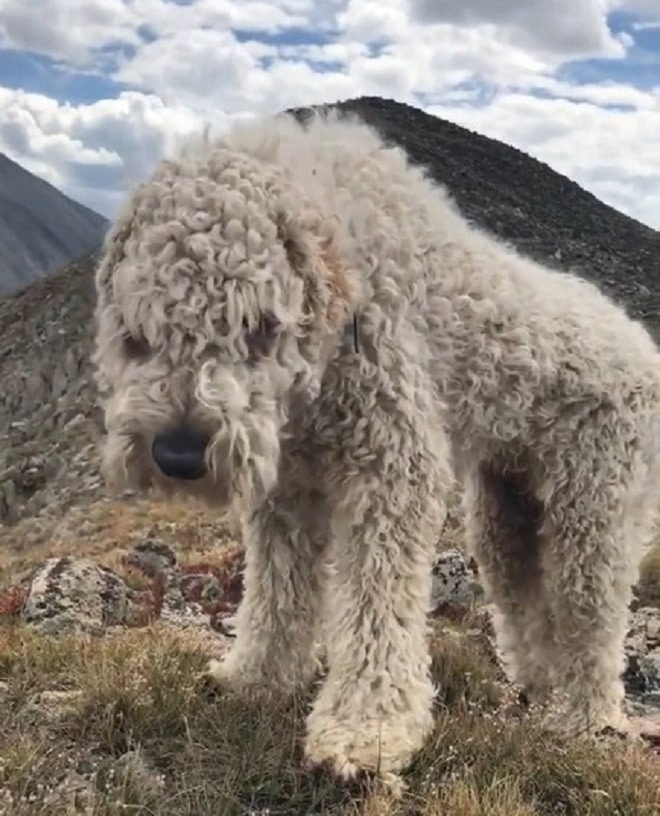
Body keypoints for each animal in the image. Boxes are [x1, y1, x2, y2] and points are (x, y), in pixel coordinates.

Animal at [91, 107, 660, 776]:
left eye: (260, 326)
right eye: (137, 332)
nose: (178, 455)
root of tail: (645, 349)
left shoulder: (394, 467)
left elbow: (375, 603)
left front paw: (367, 729)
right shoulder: (287, 490)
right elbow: (276, 594)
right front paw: (255, 678)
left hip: (594, 511)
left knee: (592, 619)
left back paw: (585, 719)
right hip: (505, 509)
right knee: (525, 600)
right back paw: (541, 687)